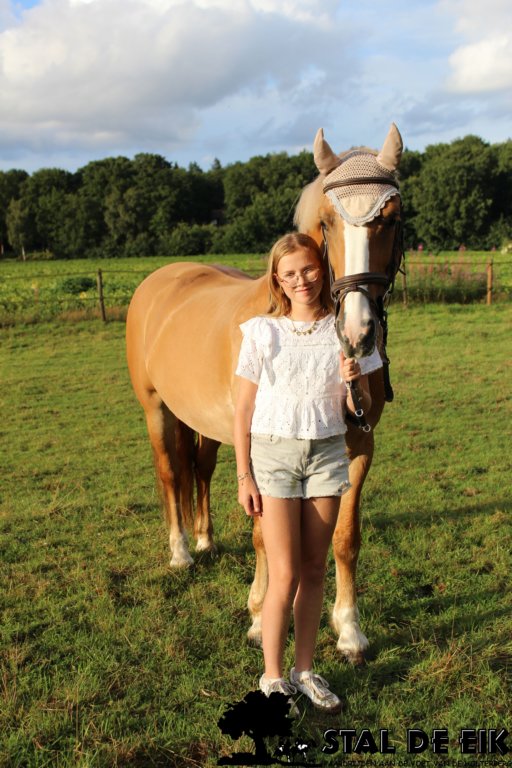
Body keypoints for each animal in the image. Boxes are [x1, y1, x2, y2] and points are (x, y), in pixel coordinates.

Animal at [126, 123, 404, 663]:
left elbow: (345, 537)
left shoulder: (360, 445)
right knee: (170, 473)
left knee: (199, 470)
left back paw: (204, 539)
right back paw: (181, 551)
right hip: (156, 410)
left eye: (390, 217)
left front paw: (349, 630)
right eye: (326, 222)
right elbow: (264, 536)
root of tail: (163, 277)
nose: (356, 333)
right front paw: (258, 618)